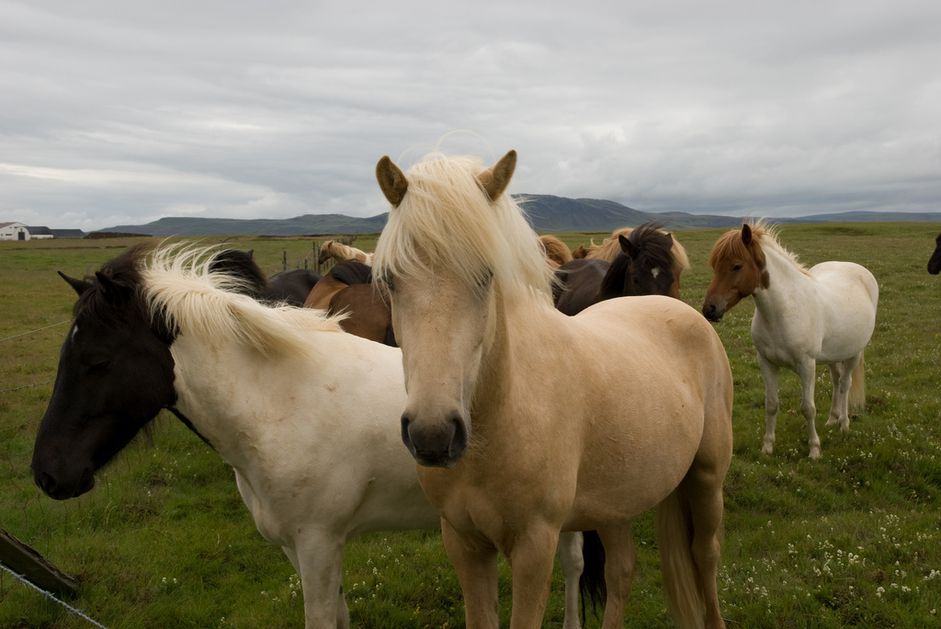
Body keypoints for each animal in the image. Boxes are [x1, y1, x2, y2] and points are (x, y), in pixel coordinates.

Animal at [31, 244, 588, 628]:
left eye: (97, 361)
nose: (47, 474)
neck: (282, 403)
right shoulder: (300, 548)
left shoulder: (320, 545)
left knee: (573, 567)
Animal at [370, 151, 732, 628]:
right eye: (391, 280)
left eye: (486, 275)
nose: (433, 435)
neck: (502, 416)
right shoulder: (464, 544)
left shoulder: (534, 548)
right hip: (614, 503)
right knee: (622, 571)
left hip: (706, 479)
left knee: (705, 557)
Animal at [700, 223, 876, 458]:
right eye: (714, 266)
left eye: (737, 266)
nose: (710, 310)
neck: (783, 311)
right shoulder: (766, 363)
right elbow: (771, 404)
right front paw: (767, 446)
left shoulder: (807, 365)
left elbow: (808, 408)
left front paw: (814, 449)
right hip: (832, 356)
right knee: (837, 381)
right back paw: (832, 419)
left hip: (853, 353)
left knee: (845, 385)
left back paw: (844, 424)